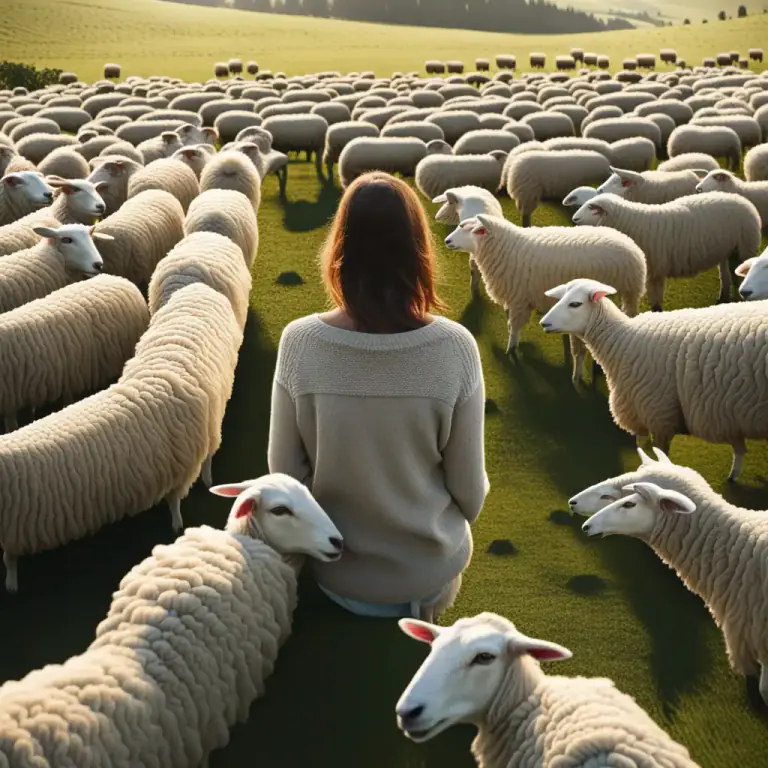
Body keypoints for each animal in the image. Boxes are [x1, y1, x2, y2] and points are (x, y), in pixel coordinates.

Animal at [445, 214, 646, 383]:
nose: (447, 240)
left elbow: (514, 327)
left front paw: (511, 349)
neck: (506, 250)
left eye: (470, 229)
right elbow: (511, 324)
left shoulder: (519, 299)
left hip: (629, 293)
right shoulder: (515, 299)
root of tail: (632, 246)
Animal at [540, 278, 768, 479]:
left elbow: (658, 452)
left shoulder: (659, 413)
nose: (544, 323)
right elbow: (641, 445)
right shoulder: (642, 410)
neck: (622, 340)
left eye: (575, 304)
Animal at [573, 192, 760, 309]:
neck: (631, 224)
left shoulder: (655, 270)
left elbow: (656, 302)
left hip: (745, 247)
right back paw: (724, 298)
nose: (574, 219)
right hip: (727, 251)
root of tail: (741, 198)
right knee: (727, 274)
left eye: (592, 208)